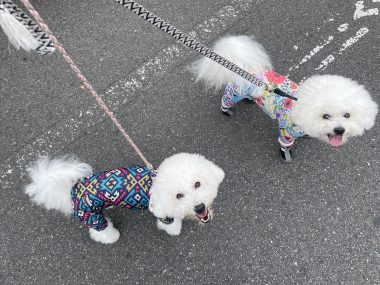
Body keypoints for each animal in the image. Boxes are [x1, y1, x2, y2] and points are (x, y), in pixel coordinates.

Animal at [25, 152, 224, 243]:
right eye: (179, 195)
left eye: (197, 184)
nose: (199, 207)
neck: (155, 182)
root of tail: (72, 191)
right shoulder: (164, 215)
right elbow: (171, 224)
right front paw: (175, 230)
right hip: (92, 216)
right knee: (99, 231)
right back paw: (111, 236)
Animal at [193, 35, 378, 160]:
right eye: (325, 116)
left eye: (347, 115)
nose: (340, 130)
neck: (298, 106)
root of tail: (244, 67)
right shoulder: (286, 133)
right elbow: (285, 146)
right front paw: (286, 156)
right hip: (234, 93)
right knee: (225, 101)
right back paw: (226, 111)